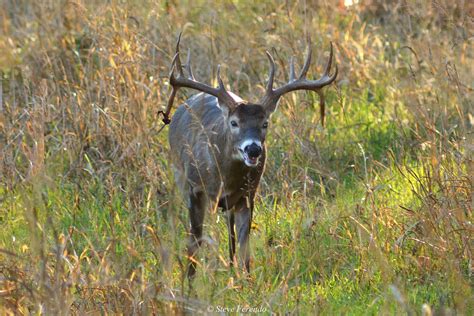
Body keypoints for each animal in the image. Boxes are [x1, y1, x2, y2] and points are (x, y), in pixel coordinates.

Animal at [167, 33, 336, 278]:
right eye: (234, 123)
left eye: (265, 123)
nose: (253, 149)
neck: (223, 177)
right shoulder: (195, 189)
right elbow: (194, 241)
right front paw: (188, 281)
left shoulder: (248, 194)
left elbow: (245, 247)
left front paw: (246, 280)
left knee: (230, 233)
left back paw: (230, 266)